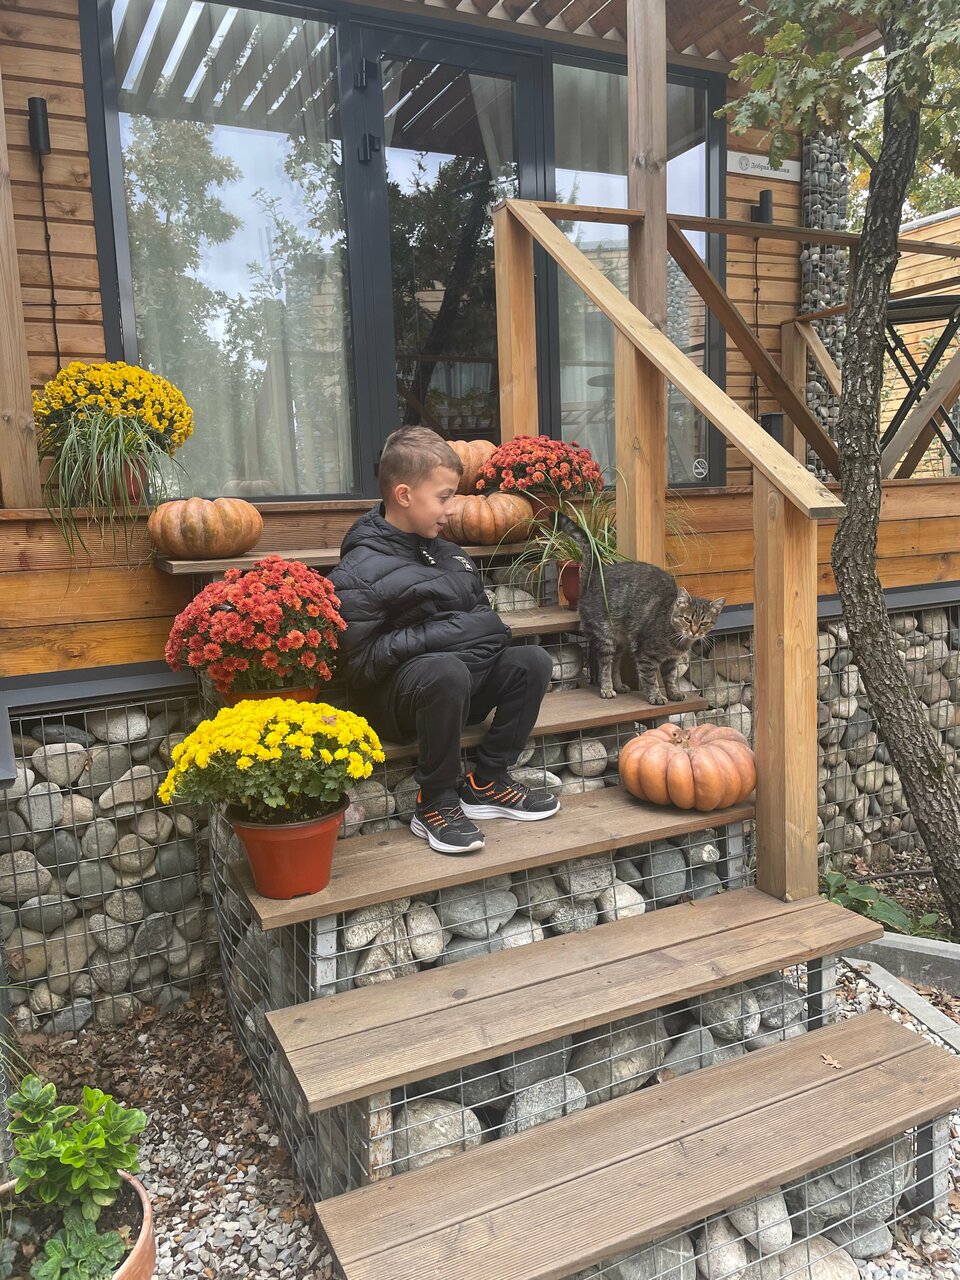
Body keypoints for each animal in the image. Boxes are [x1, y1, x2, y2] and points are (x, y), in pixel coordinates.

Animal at [556, 513, 725, 703]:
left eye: (704, 623)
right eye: (687, 619)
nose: (694, 631)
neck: (677, 640)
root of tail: (595, 574)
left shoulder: (671, 661)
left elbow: (670, 678)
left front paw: (673, 693)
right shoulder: (645, 655)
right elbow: (650, 679)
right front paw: (656, 696)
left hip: (620, 641)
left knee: (615, 663)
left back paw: (619, 686)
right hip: (605, 638)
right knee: (605, 665)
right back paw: (607, 689)